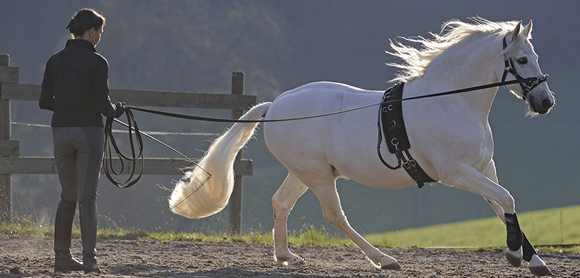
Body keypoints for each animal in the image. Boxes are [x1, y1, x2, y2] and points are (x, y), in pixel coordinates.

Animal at [168, 19, 552, 276]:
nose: (545, 102)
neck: (452, 102)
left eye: (534, 56)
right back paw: (384, 259)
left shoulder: (483, 167)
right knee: (334, 215)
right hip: (319, 176)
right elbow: (506, 200)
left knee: (281, 203)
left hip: (304, 173)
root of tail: (275, 106)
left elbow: (502, 207)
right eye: (521, 60)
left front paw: (535, 261)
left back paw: (286, 257)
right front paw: (515, 256)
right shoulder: (456, 172)